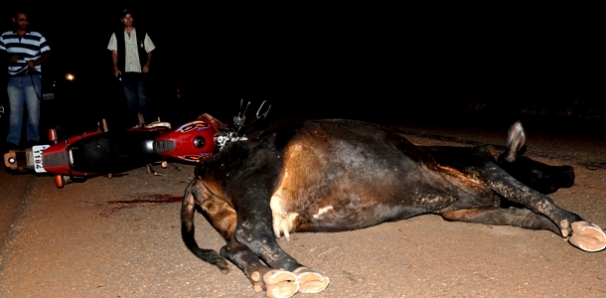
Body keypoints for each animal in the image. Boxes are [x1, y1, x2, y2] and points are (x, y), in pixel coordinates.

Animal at [180, 118, 604, 298]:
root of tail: (201, 170)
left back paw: (267, 277)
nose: (569, 169)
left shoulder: (465, 211)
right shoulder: (480, 164)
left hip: (231, 212)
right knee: (253, 232)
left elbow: (531, 215)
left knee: (232, 246)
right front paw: (580, 225)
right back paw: (298, 271)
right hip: (260, 174)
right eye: (536, 161)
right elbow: (536, 197)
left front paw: (572, 229)